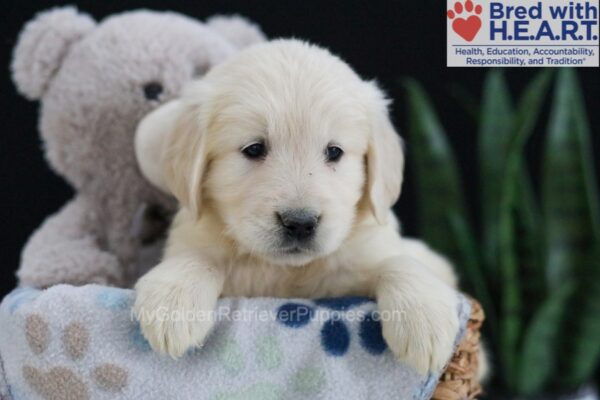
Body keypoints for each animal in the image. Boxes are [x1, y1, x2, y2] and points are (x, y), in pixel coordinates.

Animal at [135, 39, 460, 374]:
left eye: (334, 151)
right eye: (254, 149)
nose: (300, 223)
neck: (284, 271)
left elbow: (398, 262)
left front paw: (424, 319)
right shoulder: (195, 236)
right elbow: (196, 258)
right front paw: (172, 304)